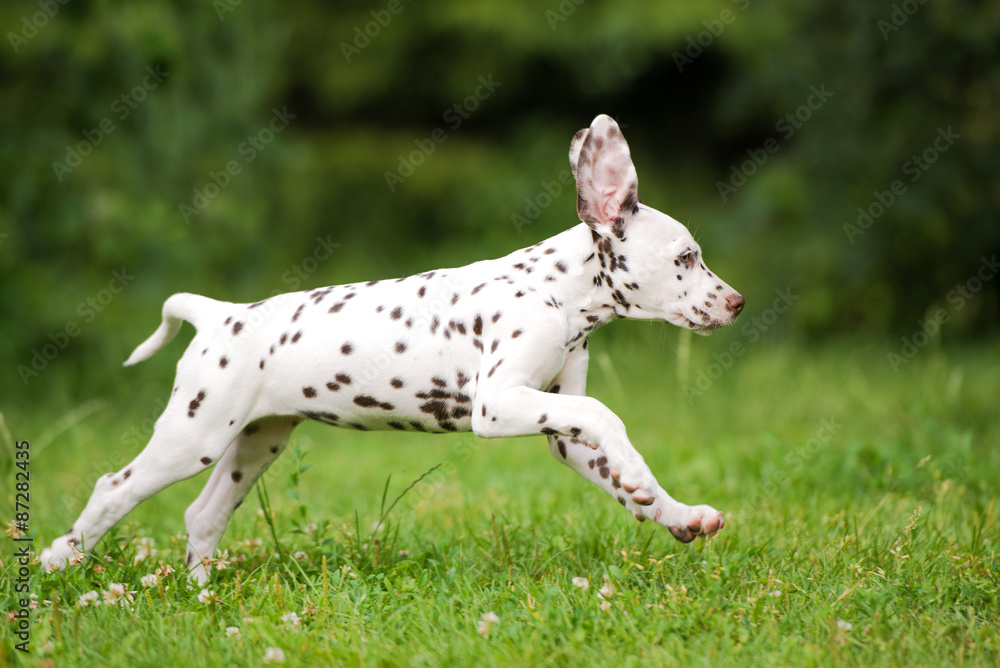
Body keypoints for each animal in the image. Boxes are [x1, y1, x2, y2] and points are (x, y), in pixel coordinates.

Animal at [41, 112, 744, 580]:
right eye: (687, 258)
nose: (736, 303)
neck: (556, 293)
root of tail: (220, 315)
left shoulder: (558, 427)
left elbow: (611, 456)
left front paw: (675, 511)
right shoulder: (497, 406)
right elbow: (607, 417)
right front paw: (640, 476)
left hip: (254, 442)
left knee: (202, 516)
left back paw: (201, 592)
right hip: (194, 437)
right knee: (112, 488)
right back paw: (56, 563)